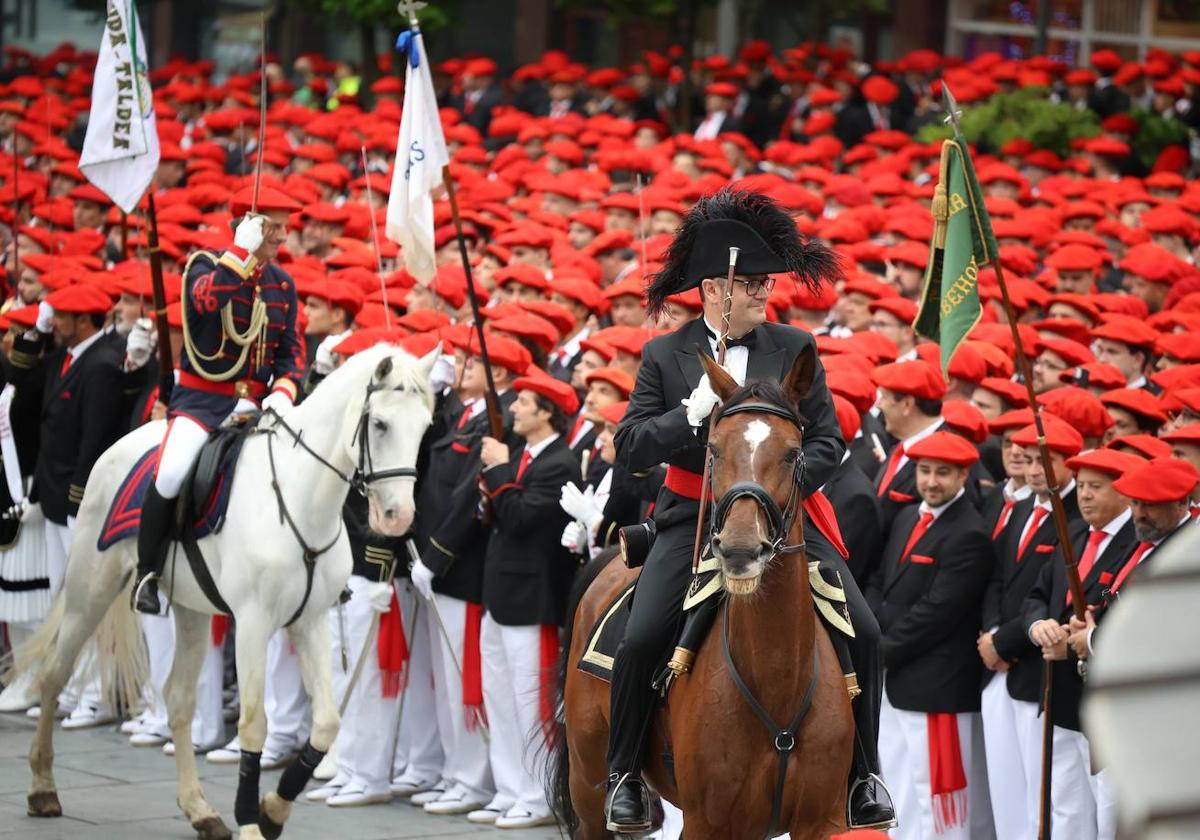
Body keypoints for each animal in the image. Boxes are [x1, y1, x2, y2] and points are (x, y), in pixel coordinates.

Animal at [7, 345, 439, 840]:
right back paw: (43, 787)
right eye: (380, 423)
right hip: (89, 590)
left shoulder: (309, 621)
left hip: (192, 608)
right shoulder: (253, 623)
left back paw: (200, 810)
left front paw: (272, 811)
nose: (398, 517)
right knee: (54, 674)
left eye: (425, 427)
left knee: (178, 697)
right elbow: (253, 724)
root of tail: (124, 443)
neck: (299, 497)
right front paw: (251, 820)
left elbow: (327, 723)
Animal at [552, 350, 854, 840]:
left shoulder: (822, 821)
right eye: (713, 450)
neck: (775, 681)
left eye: (793, 454)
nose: (739, 550)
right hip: (588, 784)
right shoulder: (706, 823)